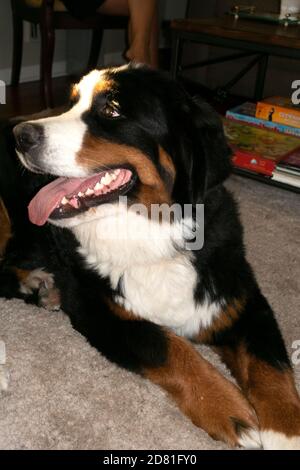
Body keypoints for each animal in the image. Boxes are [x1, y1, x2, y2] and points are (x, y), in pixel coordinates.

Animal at [0, 64, 300, 450]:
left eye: (112, 110)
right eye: (71, 102)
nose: (21, 136)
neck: (152, 232)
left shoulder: (241, 299)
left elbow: (270, 365)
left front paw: (287, 433)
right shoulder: (99, 310)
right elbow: (168, 345)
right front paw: (230, 409)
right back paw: (36, 283)